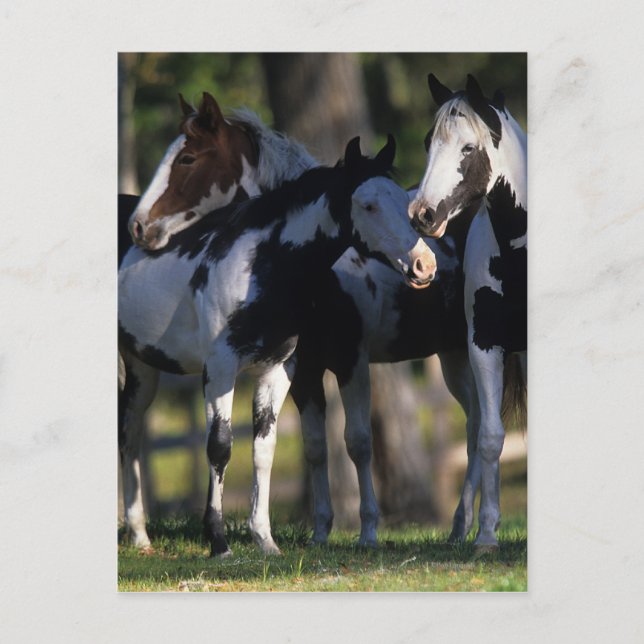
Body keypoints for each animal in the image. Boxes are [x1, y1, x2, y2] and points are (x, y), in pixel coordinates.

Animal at [119, 135, 436, 556]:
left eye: (404, 201)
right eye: (368, 205)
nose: (424, 266)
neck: (260, 265)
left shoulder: (278, 369)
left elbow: (263, 449)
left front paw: (264, 539)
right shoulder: (220, 368)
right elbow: (219, 446)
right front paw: (218, 541)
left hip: (141, 367)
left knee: (129, 430)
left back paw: (140, 536)